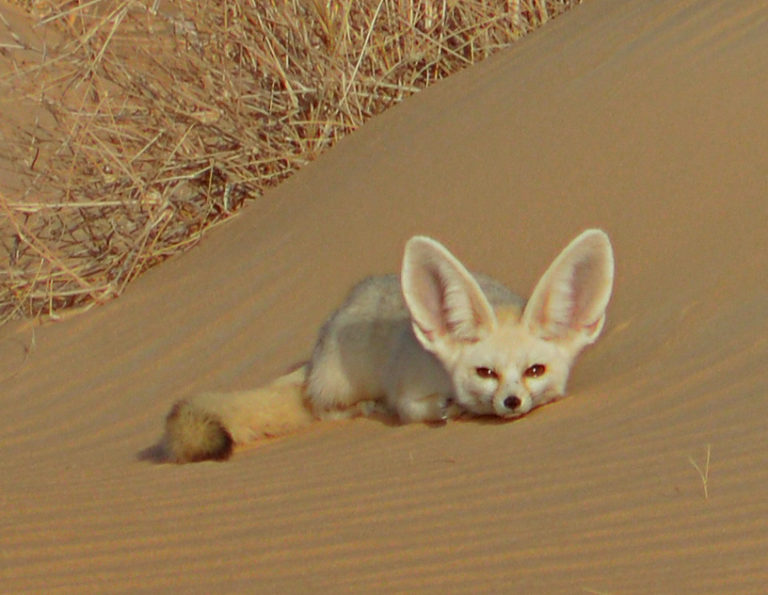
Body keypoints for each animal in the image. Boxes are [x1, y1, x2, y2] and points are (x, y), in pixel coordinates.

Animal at [165, 230, 616, 464]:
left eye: (534, 370)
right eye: (485, 373)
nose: (511, 402)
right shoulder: (407, 391)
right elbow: (416, 409)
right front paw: (448, 410)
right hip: (341, 382)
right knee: (323, 408)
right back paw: (365, 406)